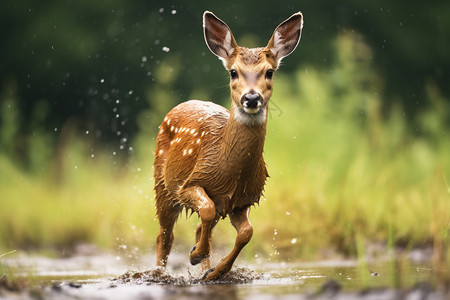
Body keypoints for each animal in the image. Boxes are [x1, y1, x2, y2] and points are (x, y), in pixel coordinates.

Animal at [153, 9, 304, 282]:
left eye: (270, 72)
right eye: (233, 72)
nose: (251, 98)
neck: (230, 172)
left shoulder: (243, 199)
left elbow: (246, 232)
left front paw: (214, 271)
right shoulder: (188, 183)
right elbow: (206, 208)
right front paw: (196, 255)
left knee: (198, 227)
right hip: (162, 183)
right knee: (165, 235)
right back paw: (159, 273)